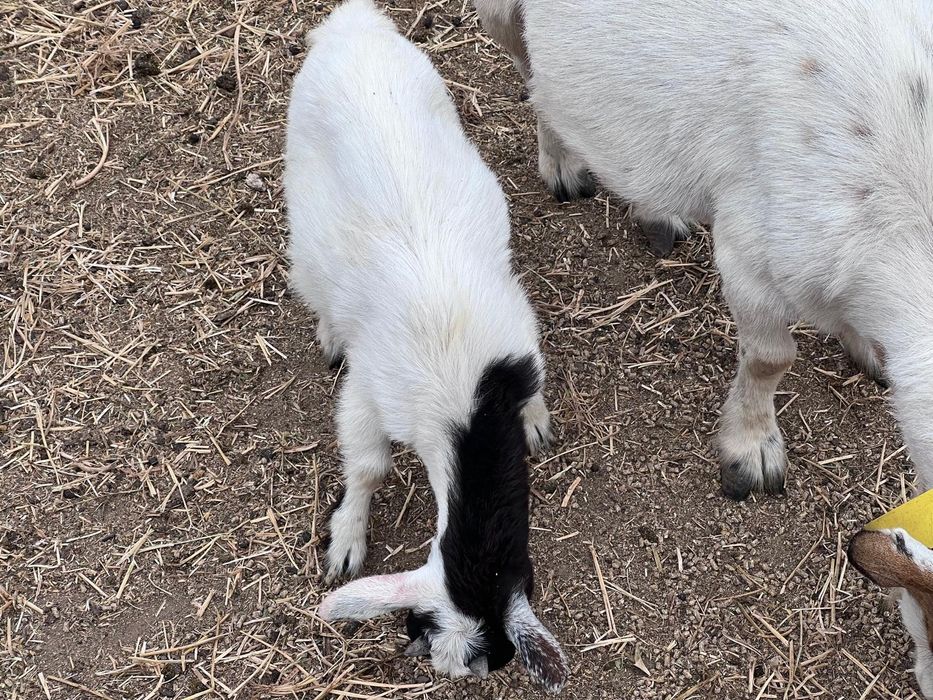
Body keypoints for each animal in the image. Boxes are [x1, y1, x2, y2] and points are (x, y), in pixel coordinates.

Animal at [284, 0, 568, 691]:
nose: (415, 655)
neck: (470, 401)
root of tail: (351, 25)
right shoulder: (369, 391)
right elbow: (367, 464)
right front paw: (347, 538)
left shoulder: (518, 341)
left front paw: (537, 422)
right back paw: (328, 330)